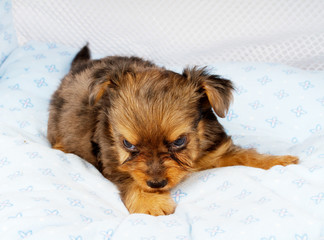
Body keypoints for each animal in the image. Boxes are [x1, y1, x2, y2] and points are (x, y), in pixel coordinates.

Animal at [46, 45, 298, 216]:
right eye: (128, 144)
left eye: (179, 142)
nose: (156, 184)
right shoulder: (114, 163)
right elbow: (132, 179)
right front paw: (151, 202)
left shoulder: (217, 152)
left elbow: (247, 155)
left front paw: (279, 161)